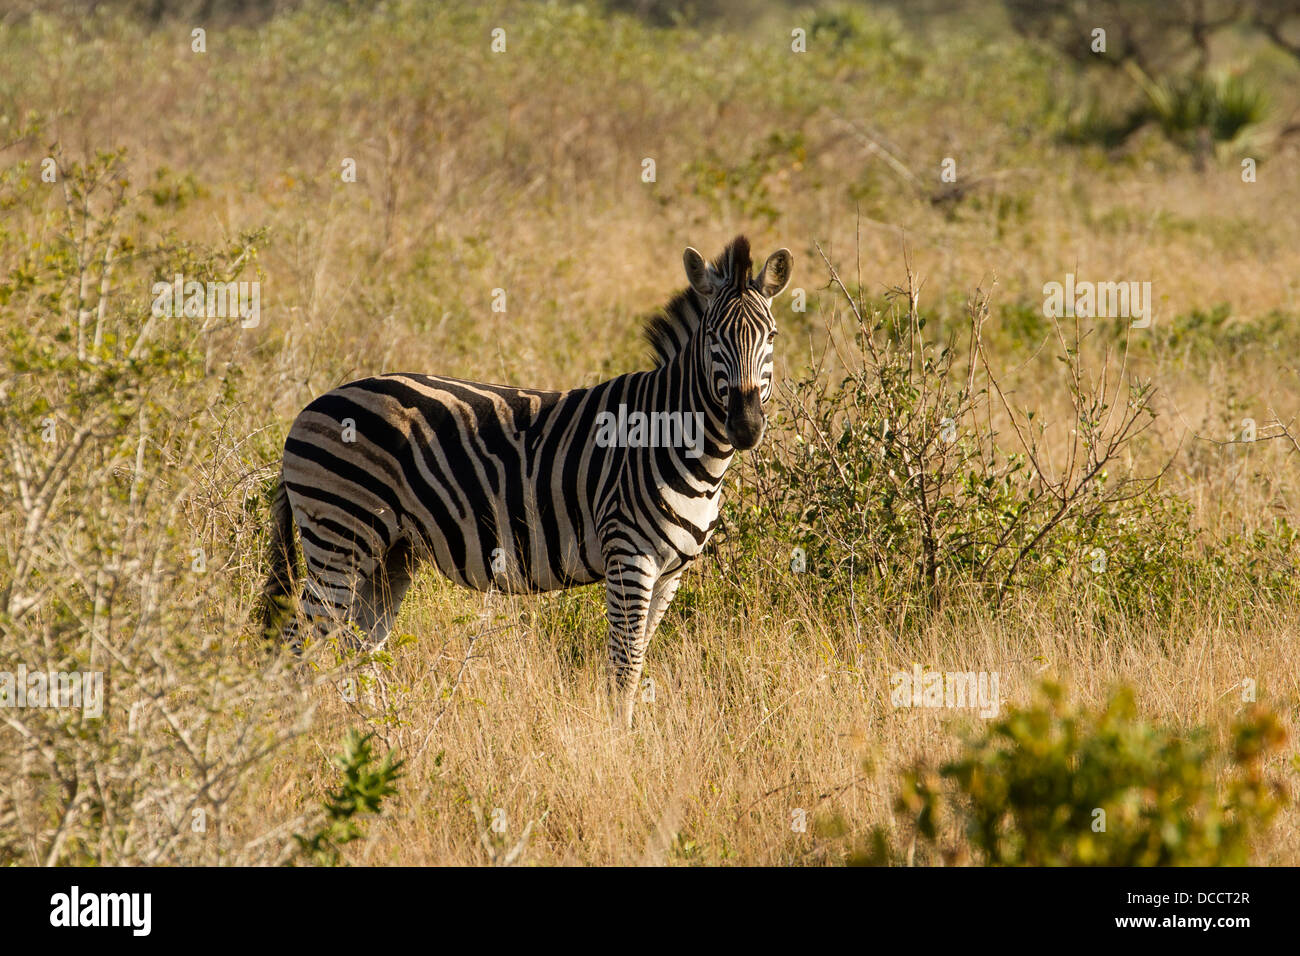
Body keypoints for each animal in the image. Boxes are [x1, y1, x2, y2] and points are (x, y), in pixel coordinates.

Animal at [257, 234, 790, 723]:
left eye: (772, 337)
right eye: (712, 338)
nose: (745, 427)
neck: (678, 443)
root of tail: (310, 407)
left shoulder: (671, 572)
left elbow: (638, 659)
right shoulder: (628, 555)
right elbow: (624, 666)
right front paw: (620, 744)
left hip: (390, 551)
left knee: (358, 644)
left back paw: (377, 733)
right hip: (339, 534)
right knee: (299, 642)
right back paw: (296, 742)